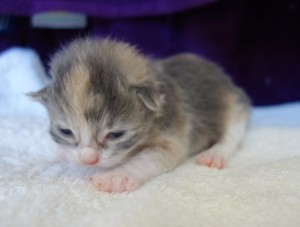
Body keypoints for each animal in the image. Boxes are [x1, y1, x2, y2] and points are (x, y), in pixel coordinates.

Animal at [29, 38, 251, 192]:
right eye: (65, 131)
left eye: (116, 134)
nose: (88, 161)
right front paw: (60, 153)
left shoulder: (172, 135)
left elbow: (145, 159)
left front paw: (117, 177)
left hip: (233, 104)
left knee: (233, 133)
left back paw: (215, 154)